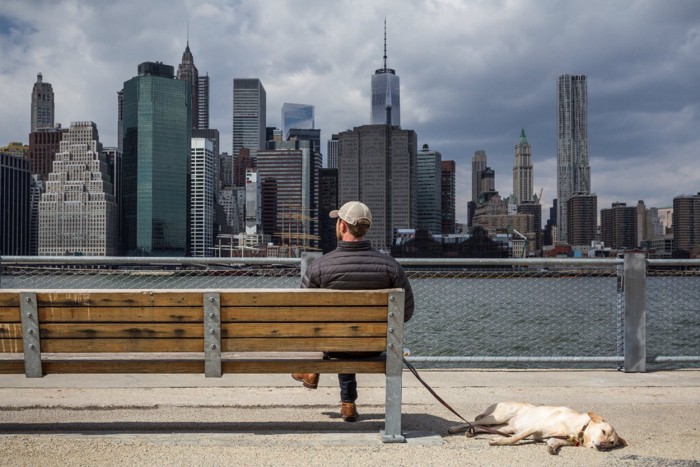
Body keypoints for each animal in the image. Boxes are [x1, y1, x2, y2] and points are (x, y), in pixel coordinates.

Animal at [452, 404, 628, 456]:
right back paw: (455, 428)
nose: (604, 447)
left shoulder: (561, 438)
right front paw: (500, 442)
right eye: (603, 432)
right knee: (474, 421)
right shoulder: (535, 427)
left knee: (480, 427)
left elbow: (554, 441)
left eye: (612, 443)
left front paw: (552, 447)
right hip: (497, 417)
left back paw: (471, 432)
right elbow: (516, 438)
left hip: (505, 427)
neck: (579, 430)